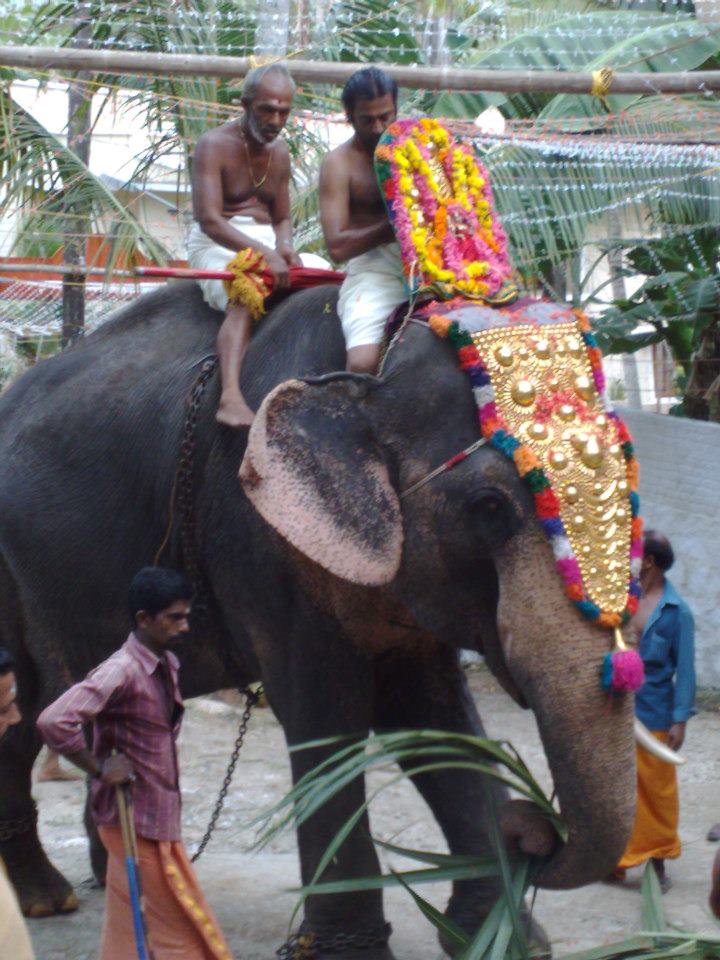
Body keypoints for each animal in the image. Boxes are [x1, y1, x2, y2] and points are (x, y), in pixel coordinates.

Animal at [0, 280, 672, 960]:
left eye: (632, 479)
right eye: (489, 507)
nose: (530, 827)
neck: (368, 372)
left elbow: (433, 717)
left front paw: (501, 938)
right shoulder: (258, 535)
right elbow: (325, 719)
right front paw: (351, 949)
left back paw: (95, 884)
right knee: (27, 708)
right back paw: (52, 900)